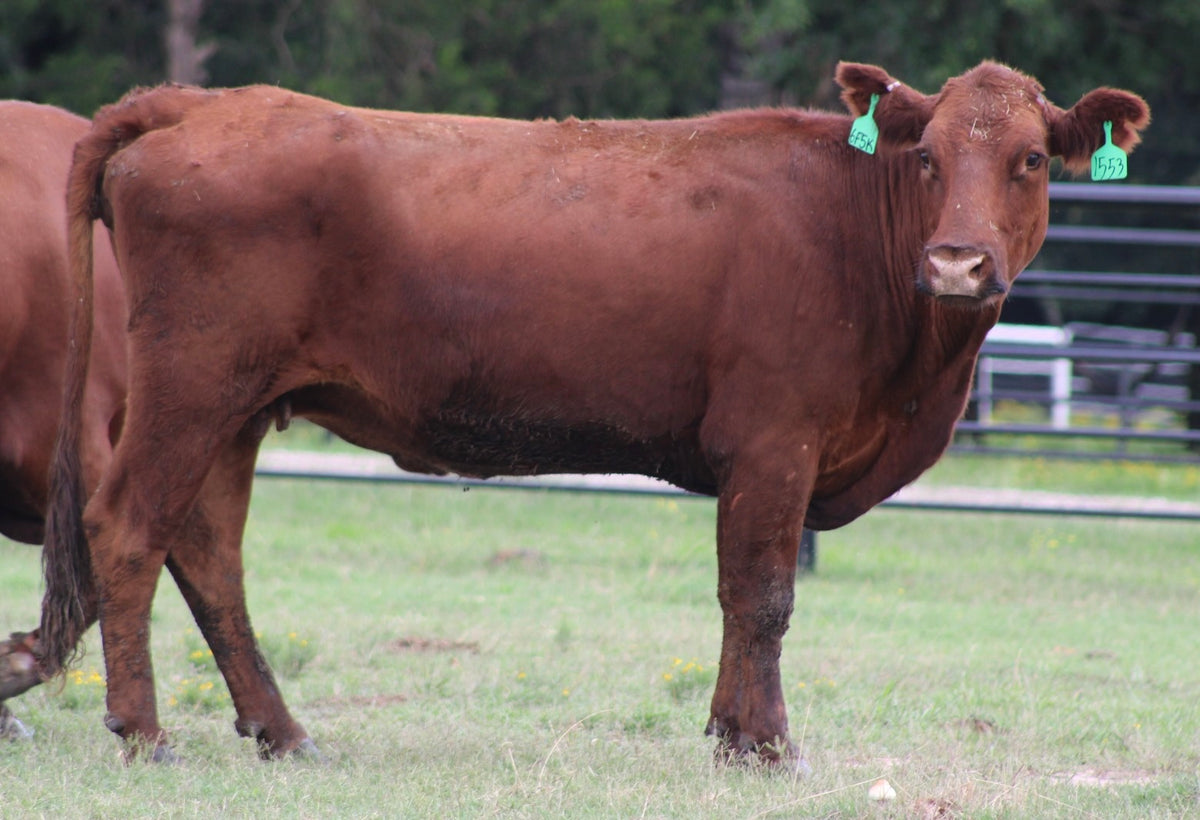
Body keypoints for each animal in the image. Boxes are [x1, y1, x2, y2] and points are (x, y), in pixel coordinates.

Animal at [40, 61, 1148, 765]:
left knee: (208, 554)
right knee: (128, 527)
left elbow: (742, 598)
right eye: (927, 159)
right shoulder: (772, 443)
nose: (957, 264)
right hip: (193, 385)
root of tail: (194, 105)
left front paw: (729, 732)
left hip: (237, 405)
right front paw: (765, 744)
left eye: (1031, 160)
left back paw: (283, 731)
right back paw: (145, 734)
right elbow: (763, 597)